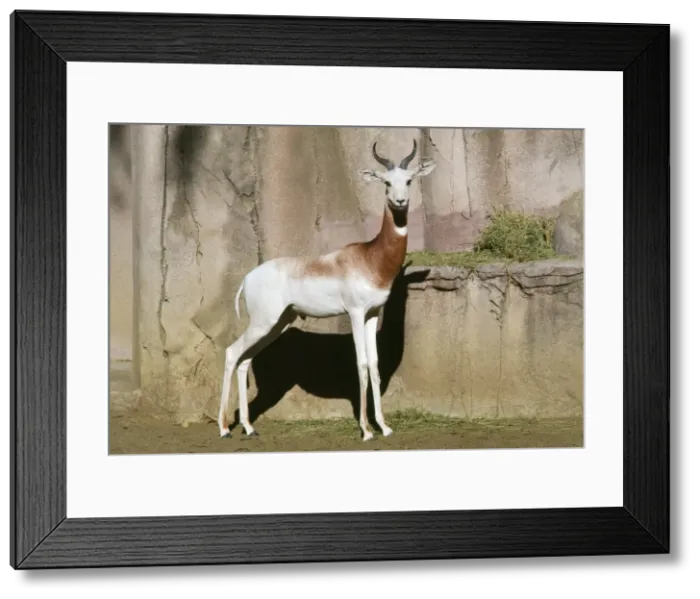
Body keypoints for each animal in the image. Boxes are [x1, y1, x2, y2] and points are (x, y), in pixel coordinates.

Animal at [218, 139, 437, 441]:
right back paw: (224, 428)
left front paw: (384, 426)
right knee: (231, 353)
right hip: (264, 323)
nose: (400, 201)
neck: (370, 258)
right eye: (386, 182)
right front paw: (366, 429)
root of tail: (247, 278)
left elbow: (375, 365)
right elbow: (361, 364)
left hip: (277, 324)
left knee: (243, 360)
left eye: (409, 180)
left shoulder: (372, 314)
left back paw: (249, 428)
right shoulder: (355, 313)